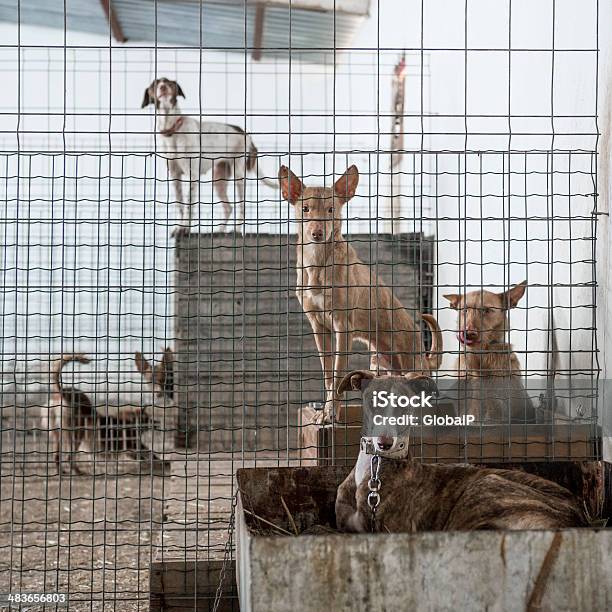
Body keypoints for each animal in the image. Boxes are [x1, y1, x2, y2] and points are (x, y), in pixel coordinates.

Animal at [140, 77, 276, 235]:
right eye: (154, 85)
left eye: (169, 83)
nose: (162, 87)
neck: (173, 130)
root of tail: (243, 132)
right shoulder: (174, 176)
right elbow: (180, 205)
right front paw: (179, 226)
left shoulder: (192, 175)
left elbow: (189, 205)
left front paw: (185, 227)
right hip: (218, 179)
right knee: (228, 207)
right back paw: (220, 231)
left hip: (238, 174)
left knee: (242, 206)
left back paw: (236, 230)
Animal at [280, 163, 442, 424]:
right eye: (305, 209)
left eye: (331, 210)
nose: (317, 233)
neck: (317, 264)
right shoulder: (318, 327)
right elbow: (328, 375)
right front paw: (325, 411)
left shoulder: (342, 327)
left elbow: (338, 376)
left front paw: (331, 413)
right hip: (379, 362)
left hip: (410, 366)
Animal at [334, 370, 588, 532]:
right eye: (373, 400)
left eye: (404, 403)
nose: (385, 443)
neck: (376, 466)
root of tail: (578, 519)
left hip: (483, 488)